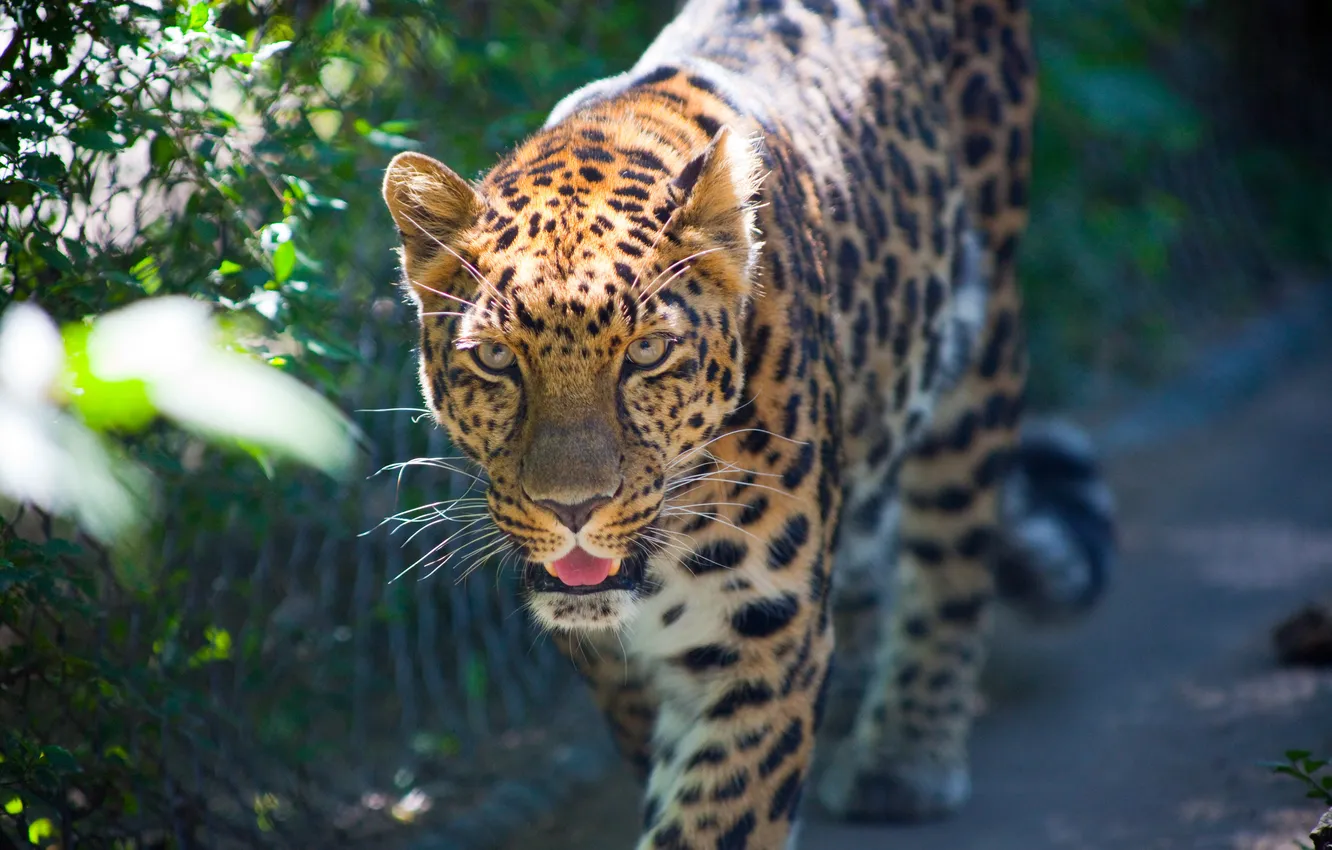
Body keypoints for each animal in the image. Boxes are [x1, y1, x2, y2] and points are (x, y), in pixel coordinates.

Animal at [380, 0, 1116, 846]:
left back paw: (905, 755)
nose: (572, 510)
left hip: (981, 335)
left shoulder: (764, 630)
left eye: (649, 352)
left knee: (952, 548)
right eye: (497, 359)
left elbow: (717, 814)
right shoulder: (607, 654)